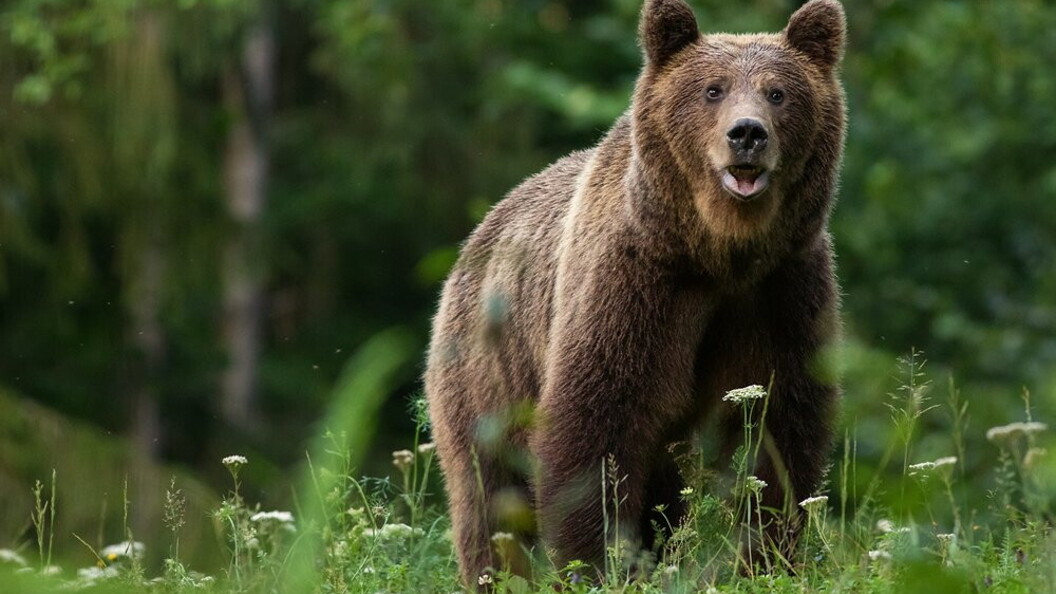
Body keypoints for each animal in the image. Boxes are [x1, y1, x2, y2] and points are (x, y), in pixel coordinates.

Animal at [425, 0, 846, 587]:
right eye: (712, 89)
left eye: (778, 92)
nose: (747, 133)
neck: (719, 252)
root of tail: (477, 236)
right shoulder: (637, 284)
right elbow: (598, 423)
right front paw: (597, 563)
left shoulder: (781, 289)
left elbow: (778, 425)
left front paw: (766, 557)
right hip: (487, 369)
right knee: (489, 493)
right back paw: (497, 574)